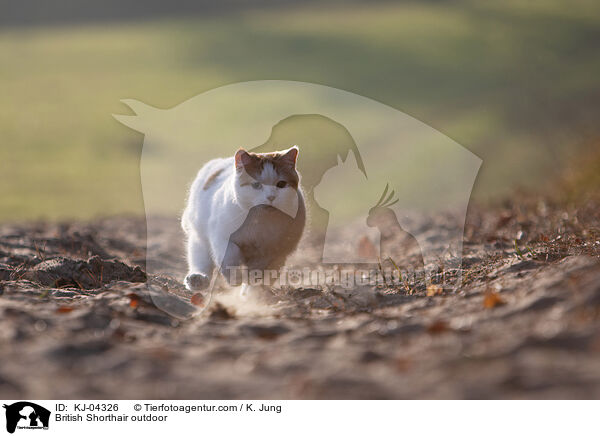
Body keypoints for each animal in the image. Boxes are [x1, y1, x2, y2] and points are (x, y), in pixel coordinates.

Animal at [182, 146, 304, 292]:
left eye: (281, 184)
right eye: (256, 185)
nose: (271, 197)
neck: (259, 221)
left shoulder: (271, 252)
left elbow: (258, 271)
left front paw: (251, 289)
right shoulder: (222, 237)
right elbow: (230, 255)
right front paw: (235, 278)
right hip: (199, 236)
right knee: (200, 258)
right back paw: (198, 279)